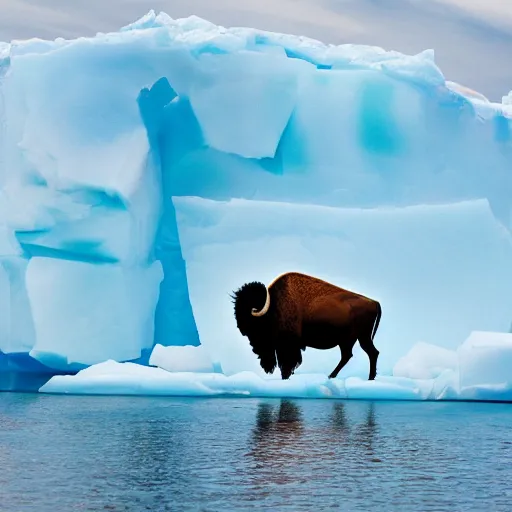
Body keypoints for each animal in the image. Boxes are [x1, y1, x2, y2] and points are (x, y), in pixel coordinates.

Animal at [231, 272, 380, 380]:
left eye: (254, 323)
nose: (241, 329)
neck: (273, 305)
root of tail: (374, 302)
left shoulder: (288, 345)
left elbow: (287, 363)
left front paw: (285, 377)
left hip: (361, 337)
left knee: (370, 353)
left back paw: (368, 378)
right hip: (350, 340)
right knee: (350, 355)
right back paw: (332, 376)